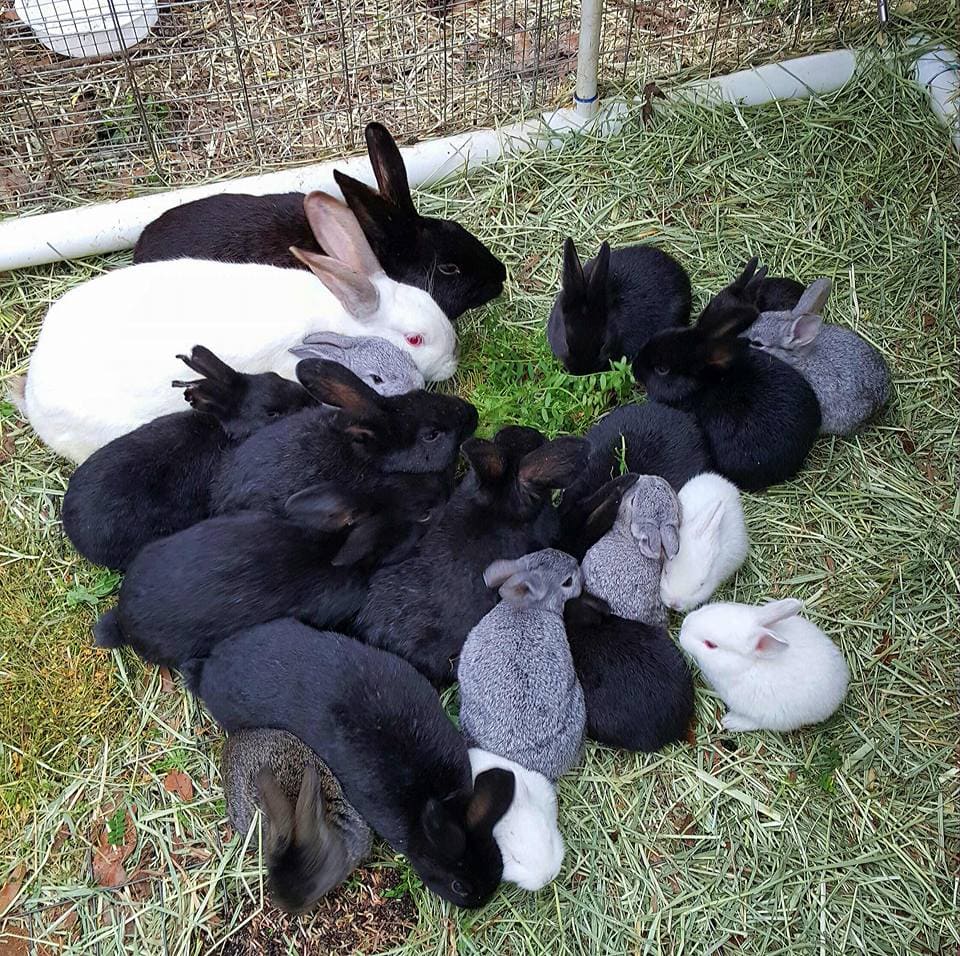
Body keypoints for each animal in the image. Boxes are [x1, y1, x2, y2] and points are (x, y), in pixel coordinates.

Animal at [679, 598, 849, 732]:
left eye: (710, 645)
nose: (683, 627)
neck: (744, 665)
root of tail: (840, 689)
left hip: (775, 716)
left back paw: (731, 722)